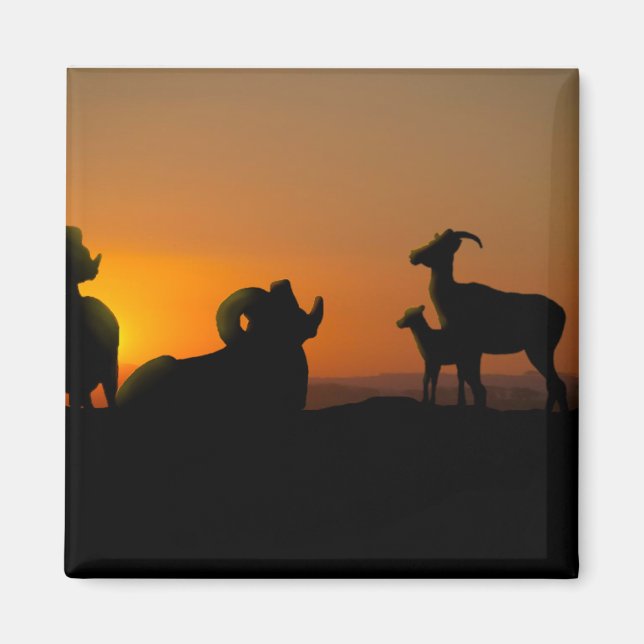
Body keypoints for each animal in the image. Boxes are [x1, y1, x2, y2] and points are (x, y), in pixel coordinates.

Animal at [409, 229, 567, 411]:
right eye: (434, 241)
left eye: (440, 245)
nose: (413, 255)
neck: (453, 295)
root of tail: (562, 312)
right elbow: (470, 381)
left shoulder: (471, 348)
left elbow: (476, 385)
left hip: (538, 349)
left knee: (556, 383)